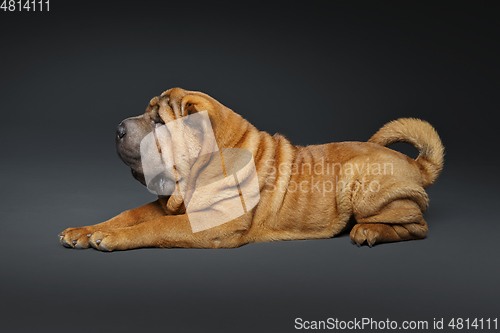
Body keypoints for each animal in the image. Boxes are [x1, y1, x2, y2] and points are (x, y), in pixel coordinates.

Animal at [58, 87, 446, 250]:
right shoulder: (169, 204)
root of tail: (416, 163)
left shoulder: (212, 224)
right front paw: (84, 231)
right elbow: (129, 215)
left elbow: (154, 228)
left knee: (417, 227)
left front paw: (109, 238)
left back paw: (369, 231)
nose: (118, 128)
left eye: (158, 123)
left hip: (359, 180)